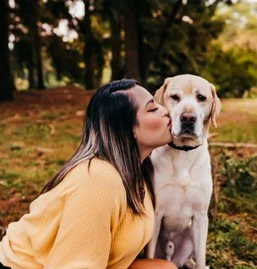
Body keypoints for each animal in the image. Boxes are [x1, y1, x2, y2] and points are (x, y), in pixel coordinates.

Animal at [146, 74, 220, 268]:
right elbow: (149, 254)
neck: (183, 153)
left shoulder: (200, 216)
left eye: (201, 97)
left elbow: (201, 259)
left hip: (189, 235)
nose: (188, 118)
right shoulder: (156, 214)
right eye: (175, 97)